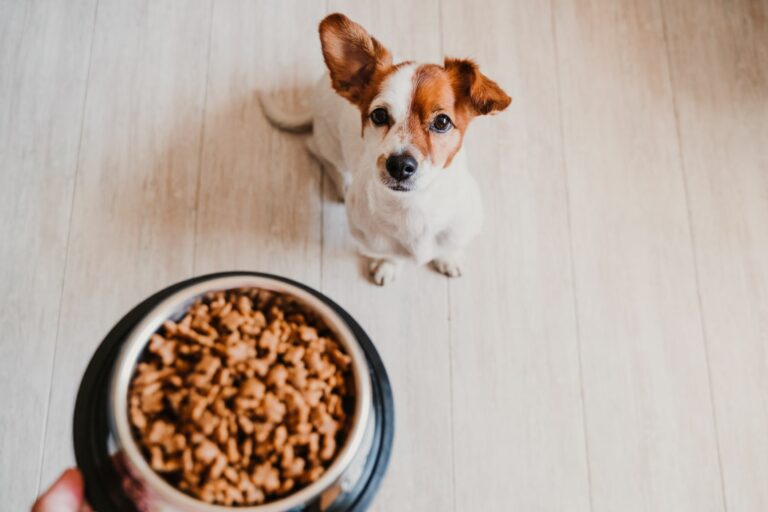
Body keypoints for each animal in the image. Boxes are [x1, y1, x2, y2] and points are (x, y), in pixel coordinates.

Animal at [260, 13, 512, 284]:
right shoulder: (371, 240)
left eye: (442, 122)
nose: (400, 165)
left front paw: (449, 258)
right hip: (329, 145)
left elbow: (449, 247)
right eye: (379, 115)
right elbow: (388, 254)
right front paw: (387, 265)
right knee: (317, 151)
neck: (413, 206)